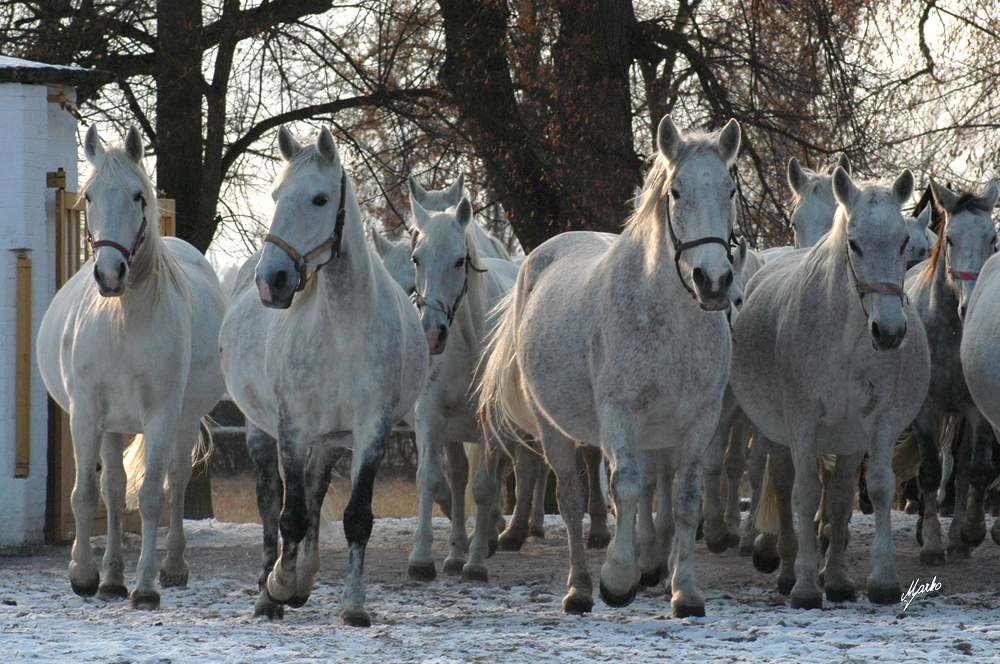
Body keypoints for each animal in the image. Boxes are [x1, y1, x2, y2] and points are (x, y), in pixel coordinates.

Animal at [38, 127, 226, 608]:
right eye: (88, 197)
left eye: (139, 196)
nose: (110, 274)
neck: (123, 322)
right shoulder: (88, 415)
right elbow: (88, 496)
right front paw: (87, 575)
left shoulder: (161, 415)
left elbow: (153, 498)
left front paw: (145, 587)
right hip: (112, 426)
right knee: (114, 490)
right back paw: (111, 576)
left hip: (183, 421)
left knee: (176, 483)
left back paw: (172, 567)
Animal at [219, 126, 426, 628]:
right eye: (275, 194)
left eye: (319, 198)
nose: (272, 280)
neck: (342, 329)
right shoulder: (292, 425)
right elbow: (288, 515)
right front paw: (278, 583)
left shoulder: (371, 430)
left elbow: (356, 517)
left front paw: (353, 605)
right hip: (260, 430)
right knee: (271, 500)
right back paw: (270, 591)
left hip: (331, 440)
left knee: (313, 492)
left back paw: (303, 578)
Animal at [480, 115, 740, 616]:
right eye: (676, 192)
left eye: (730, 190)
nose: (714, 281)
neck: (670, 322)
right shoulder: (620, 412)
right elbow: (626, 488)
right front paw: (618, 578)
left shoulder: (699, 420)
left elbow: (684, 501)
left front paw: (685, 590)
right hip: (553, 428)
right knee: (571, 498)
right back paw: (580, 587)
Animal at [728, 166, 928, 608]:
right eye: (853, 244)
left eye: (904, 243)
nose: (890, 331)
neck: (847, 340)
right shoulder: (801, 422)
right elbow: (804, 492)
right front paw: (804, 584)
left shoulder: (877, 421)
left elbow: (868, 491)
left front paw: (871, 580)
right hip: (778, 434)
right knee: (783, 485)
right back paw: (786, 569)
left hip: (847, 438)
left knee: (835, 494)